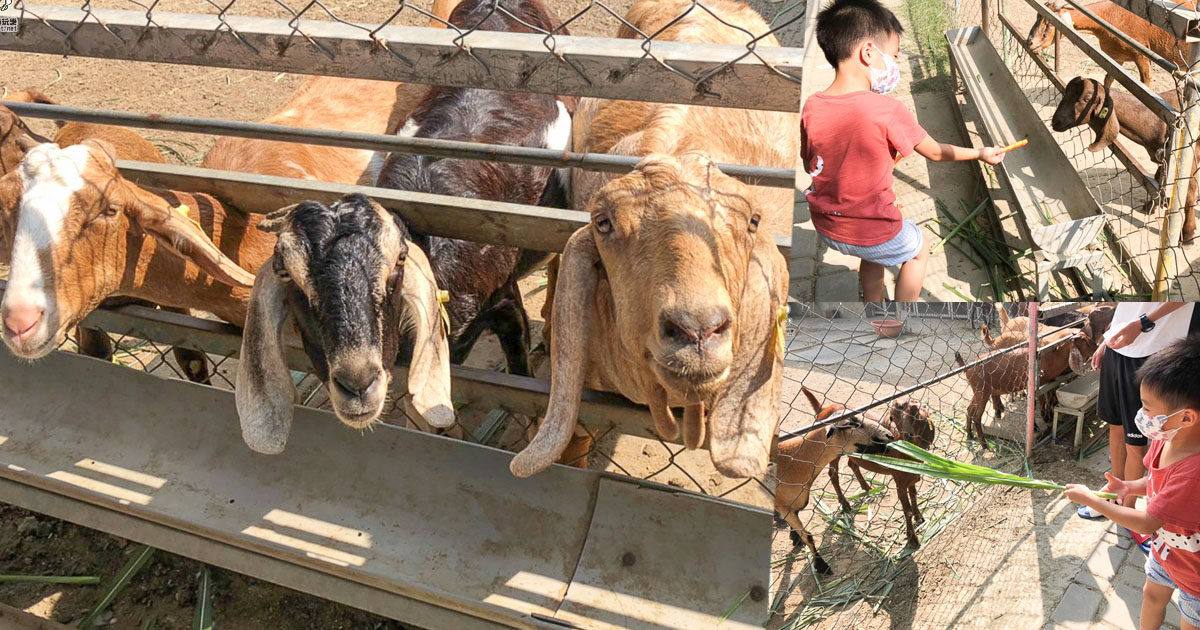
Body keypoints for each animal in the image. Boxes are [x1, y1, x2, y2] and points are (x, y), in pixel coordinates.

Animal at [772, 408, 897, 573]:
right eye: (852, 423)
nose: (889, 435)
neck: (794, 461)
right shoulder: (784, 505)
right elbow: (808, 536)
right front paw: (821, 566)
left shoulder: (795, 502)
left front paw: (795, 538)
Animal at [1022, 0, 1190, 88]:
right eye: (1037, 15)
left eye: (1049, 23)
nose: (1030, 42)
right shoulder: (1116, 58)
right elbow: (1108, 80)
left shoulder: (1142, 56)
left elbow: (1146, 83)